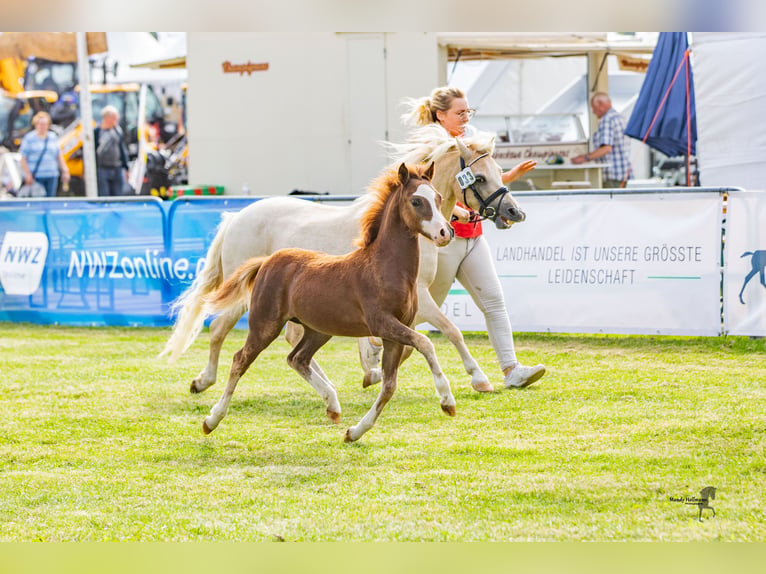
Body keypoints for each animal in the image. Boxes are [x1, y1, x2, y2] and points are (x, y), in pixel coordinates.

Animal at [159, 124, 524, 398]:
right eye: (479, 178)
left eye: (498, 171)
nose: (513, 212)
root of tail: (235, 218)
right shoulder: (420, 297)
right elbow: (451, 331)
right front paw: (479, 379)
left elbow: (410, 342)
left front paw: (372, 367)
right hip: (247, 296)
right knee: (219, 329)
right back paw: (203, 381)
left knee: (292, 341)